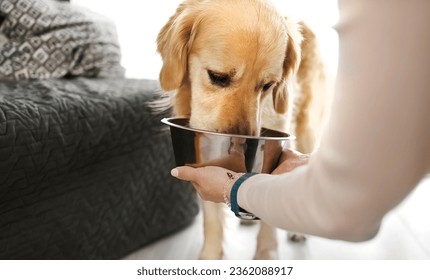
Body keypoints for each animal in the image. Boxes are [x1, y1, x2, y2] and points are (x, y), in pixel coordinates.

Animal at [158, 0, 330, 260]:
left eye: (268, 85)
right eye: (218, 77)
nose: (239, 144)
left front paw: (266, 254)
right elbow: (212, 220)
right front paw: (210, 256)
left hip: (307, 126)